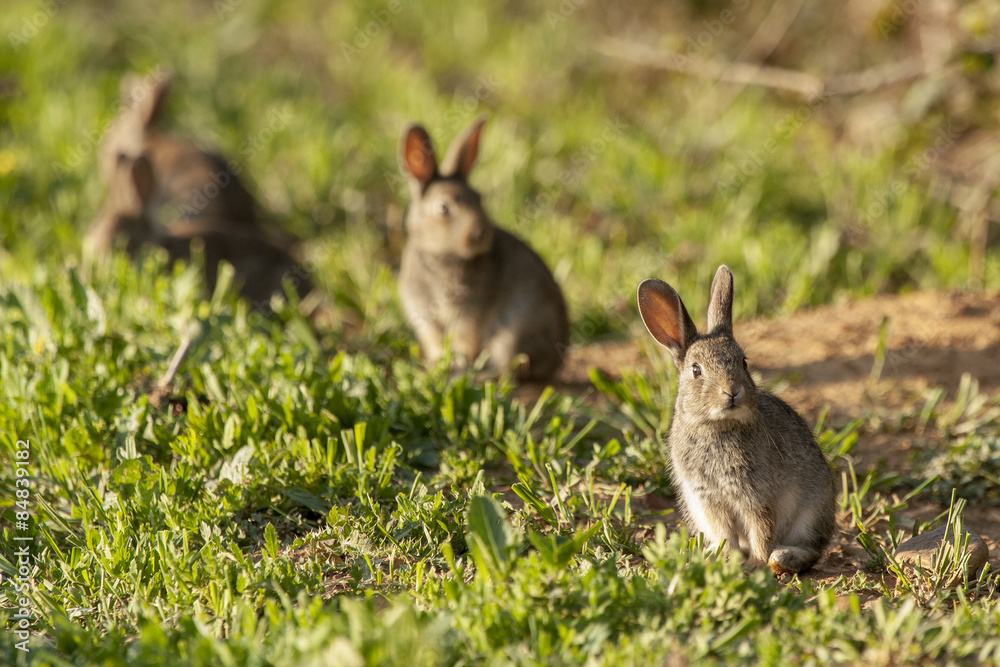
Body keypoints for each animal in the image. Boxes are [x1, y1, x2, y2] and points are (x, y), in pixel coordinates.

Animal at [398, 117, 569, 382]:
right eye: (444, 207)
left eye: (478, 198)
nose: (481, 234)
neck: (440, 255)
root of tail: (555, 362)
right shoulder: (425, 317)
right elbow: (437, 344)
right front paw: (438, 368)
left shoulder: (467, 315)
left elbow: (465, 343)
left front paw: (457, 368)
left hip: (511, 332)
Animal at [636, 265, 835, 575]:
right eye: (696, 370)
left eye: (743, 362)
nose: (732, 391)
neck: (716, 426)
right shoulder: (709, 501)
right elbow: (726, 534)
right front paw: (725, 558)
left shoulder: (756, 497)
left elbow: (761, 531)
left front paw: (756, 564)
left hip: (811, 512)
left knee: (812, 548)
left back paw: (782, 559)